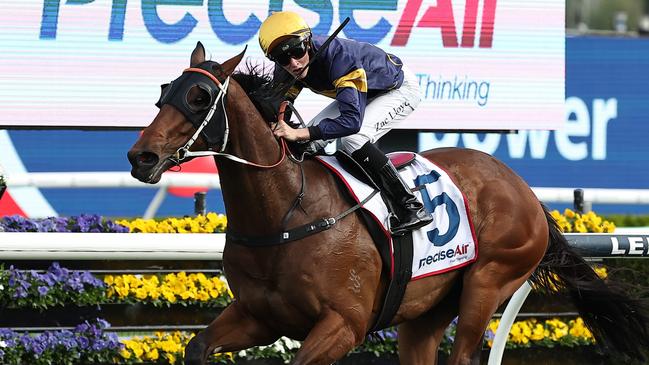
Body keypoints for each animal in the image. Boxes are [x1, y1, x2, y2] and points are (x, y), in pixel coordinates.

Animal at [128, 43, 648, 364]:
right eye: (163, 92)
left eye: (200, 96)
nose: (141, 157)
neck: (286, 213)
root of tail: (524, 191)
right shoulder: (258, 316)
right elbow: (197, 347)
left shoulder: (344, 324)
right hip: (425, 311)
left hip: (491, 280)